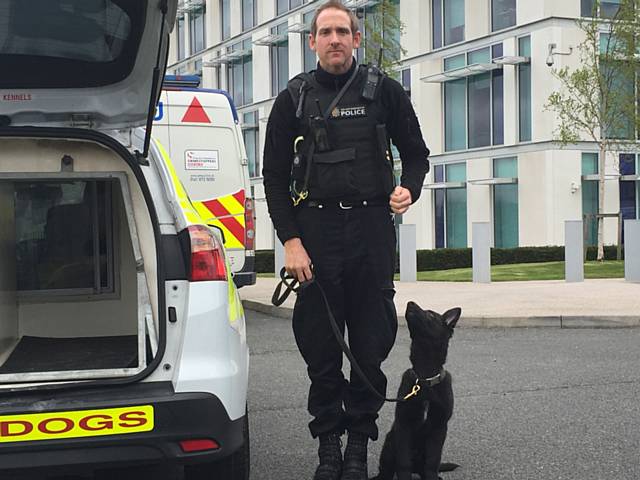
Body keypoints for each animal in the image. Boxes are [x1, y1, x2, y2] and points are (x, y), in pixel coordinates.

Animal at [370, 304, 460, 480]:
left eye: (431, 315)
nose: (410, 302)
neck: (425, 379)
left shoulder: (439, 428)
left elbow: (433, 461)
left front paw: (432, 477)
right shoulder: (404, 425)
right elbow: (403, 462)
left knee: (424, 467)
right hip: (390, 442)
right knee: (387, 469)